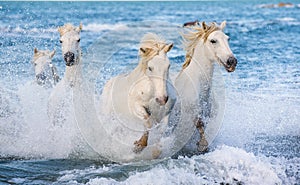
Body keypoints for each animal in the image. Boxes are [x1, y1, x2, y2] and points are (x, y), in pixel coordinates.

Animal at [168, 21, 238, 155]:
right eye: (213, 41)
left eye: (228, 39)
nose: (232, 61)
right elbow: (198, 125)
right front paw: (201, 145)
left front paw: (202, 146)